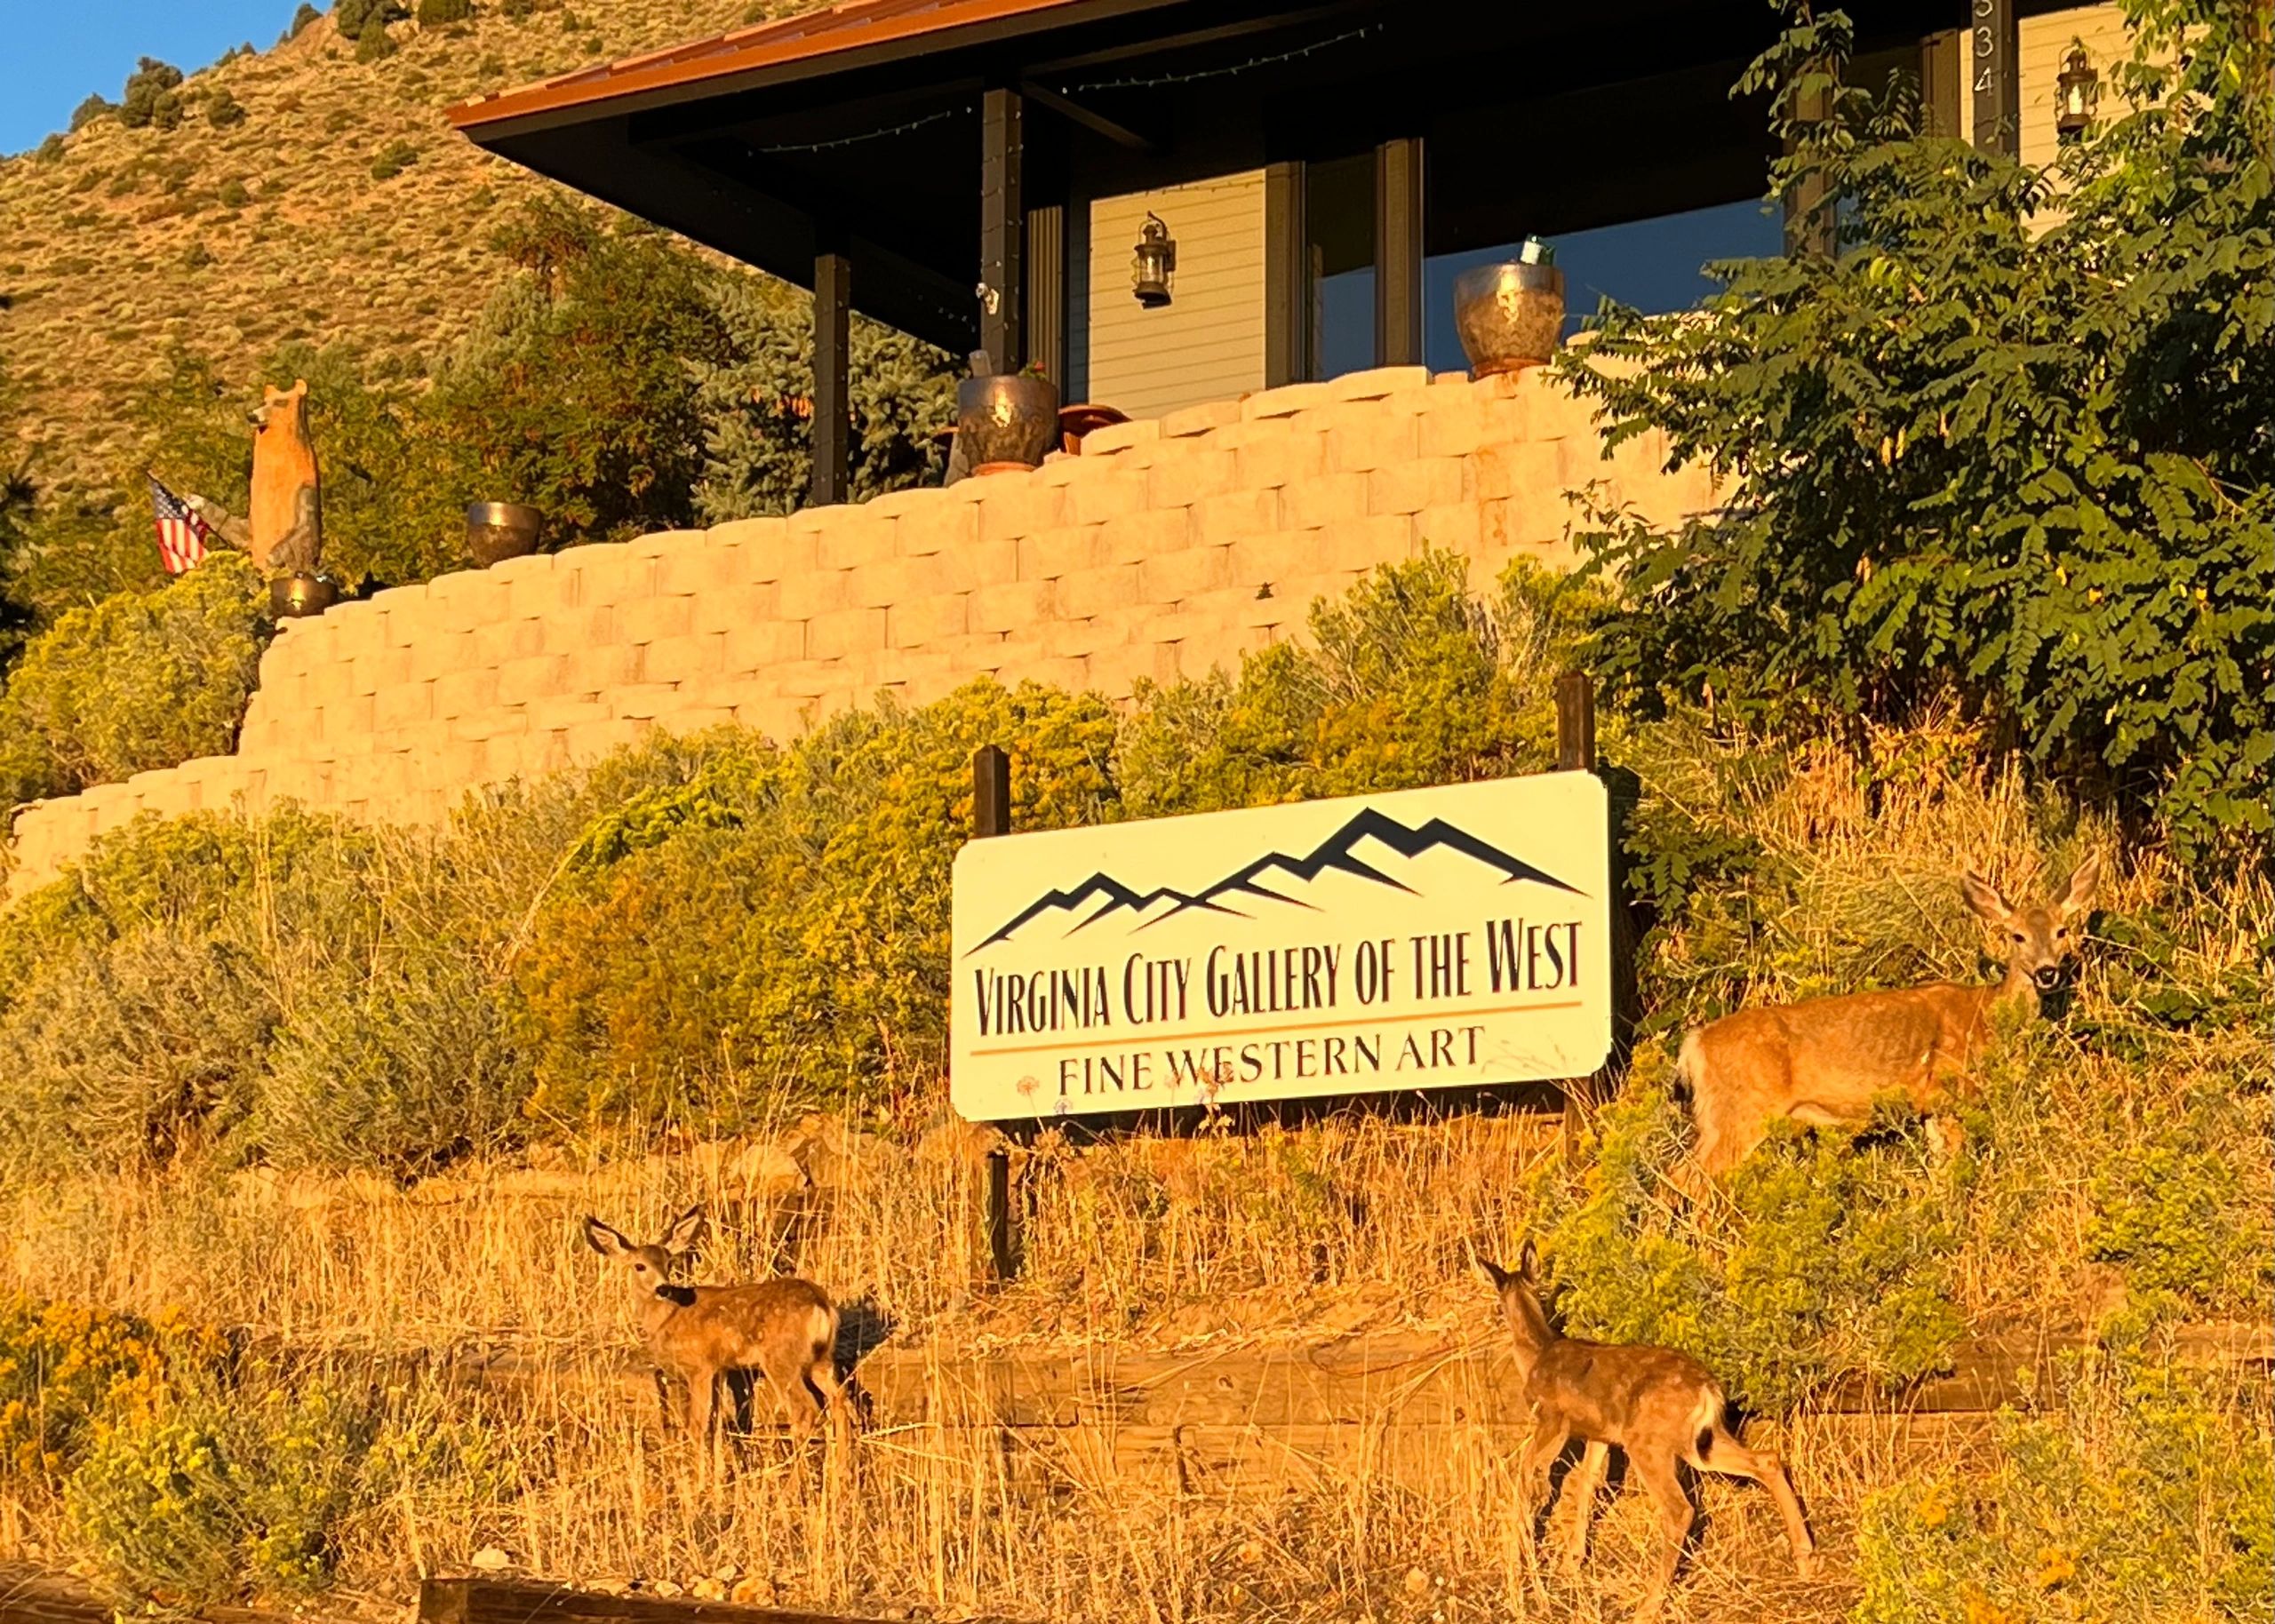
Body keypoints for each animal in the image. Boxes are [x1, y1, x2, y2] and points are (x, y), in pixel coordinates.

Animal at [582, 1200, 842, 1455]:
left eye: (669, 1263)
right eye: (639, 1266)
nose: (663, 1288)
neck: (669, 1316)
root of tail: (820, 1304)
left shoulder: (700, 1365)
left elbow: (697, 1426)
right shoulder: (720, 1368)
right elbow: (716, 1424)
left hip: (781, 1359)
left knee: (805, 1410)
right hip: (821, 1358)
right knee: (840, 1399)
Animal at [1483, 1246, 1820, 1610]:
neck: (1537, 1354)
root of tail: (1708, 1389)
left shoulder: (1552, 1419)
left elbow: (1525, 1473)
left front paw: (1523, 1568)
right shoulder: (1600, 1435)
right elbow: (1588, 1483)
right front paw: (1571, 1563)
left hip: (1647, 1442)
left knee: (1680, 1509)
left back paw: (1649, 1603)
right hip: (1703, 1441)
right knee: (1767, 1459)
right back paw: (1804, 1557)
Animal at [1674, 846, 2093, 1174]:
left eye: (2061, 931)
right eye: (2016, 936)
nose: (2047, 972)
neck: (1987, 1013)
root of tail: (1696, 1044)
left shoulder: (1927, 1107)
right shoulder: (1949, 1091)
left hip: (1716, 1115)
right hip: (1742, 1107)